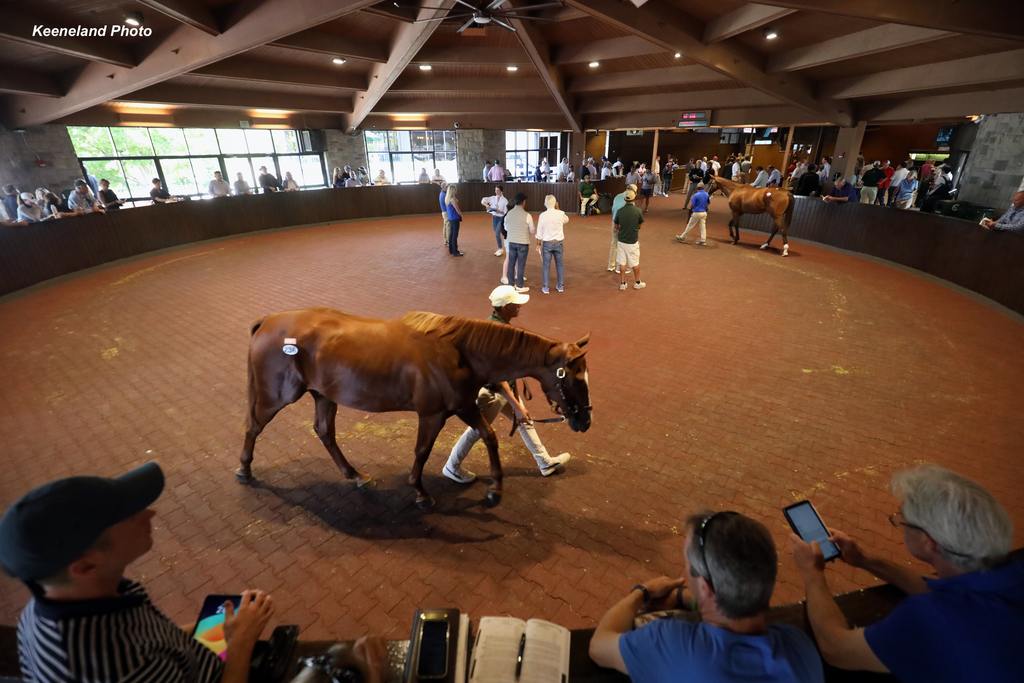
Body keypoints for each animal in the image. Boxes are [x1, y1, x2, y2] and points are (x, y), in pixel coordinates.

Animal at [236, 307, 593, 509]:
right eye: (573, 377)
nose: (584, 421)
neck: (458, 352)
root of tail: (267, 322)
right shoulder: (432, 414)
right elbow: (422, 451)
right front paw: (421, 494)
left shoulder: (463, 405)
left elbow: (489, 436)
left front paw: (495, 490)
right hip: (276, 395)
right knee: (253, 426)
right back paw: (244, 470)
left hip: (323, 395)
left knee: (325, 433)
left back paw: (356, 476)